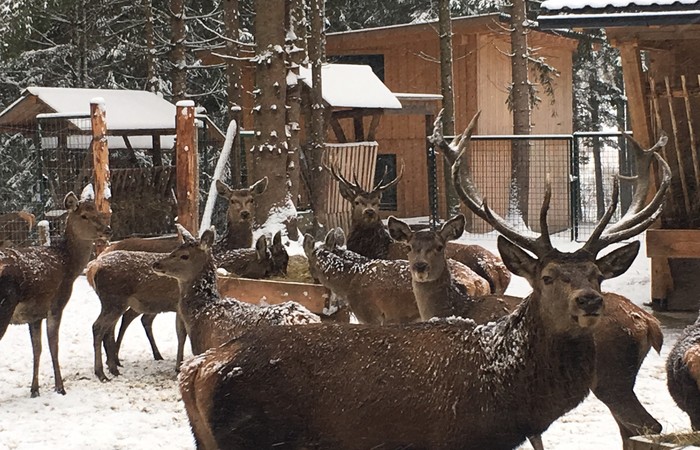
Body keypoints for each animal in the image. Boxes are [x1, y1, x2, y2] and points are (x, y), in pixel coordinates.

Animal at [0, 192, 110, 396]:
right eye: (84, 215)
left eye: (99, 213)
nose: (107, 230)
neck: (69, 266)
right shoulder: (56, 305)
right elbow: (54, 346)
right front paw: (60, 387)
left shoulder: (35, 315)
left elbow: (37, 349)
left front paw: (34, 390)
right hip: (4, 307)